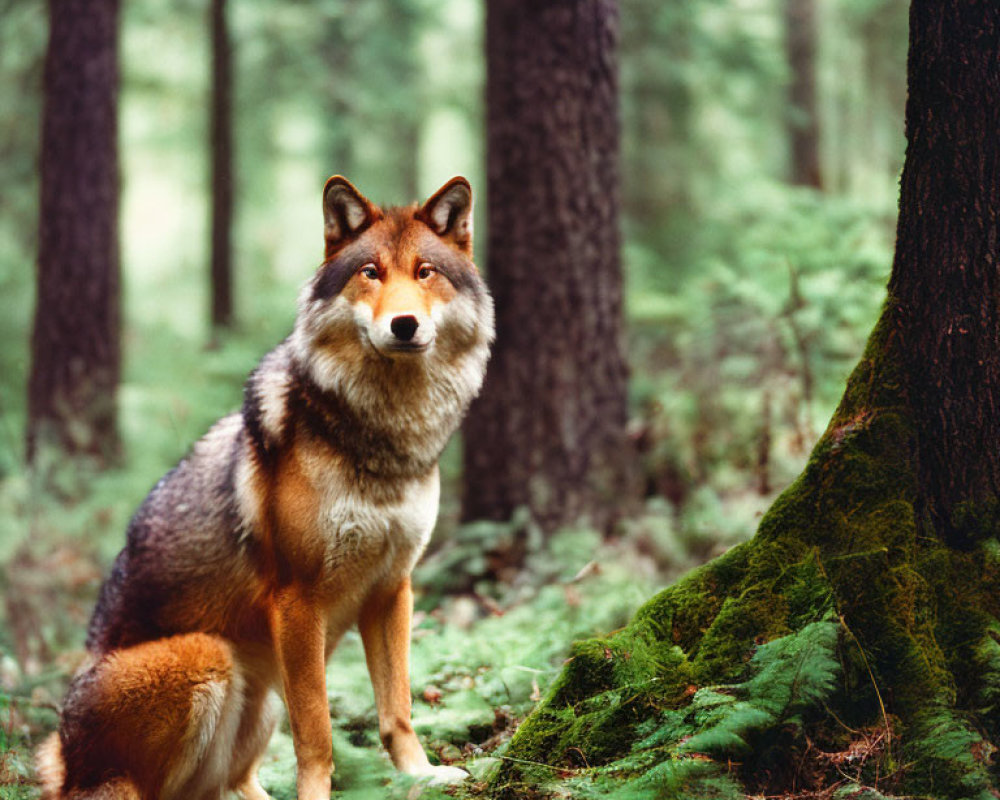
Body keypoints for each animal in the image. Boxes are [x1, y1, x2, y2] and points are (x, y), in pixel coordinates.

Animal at [36, 177, 496, 800]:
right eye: (370, 272)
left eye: (425, 272)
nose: (404, 324)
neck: (379, 437)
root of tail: (66, 763)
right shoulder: (297, 601)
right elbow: (318, 728)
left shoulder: (392, 589)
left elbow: (396, 708)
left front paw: (421, 776)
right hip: (211, 658)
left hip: (259, 700)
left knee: (229, 785)